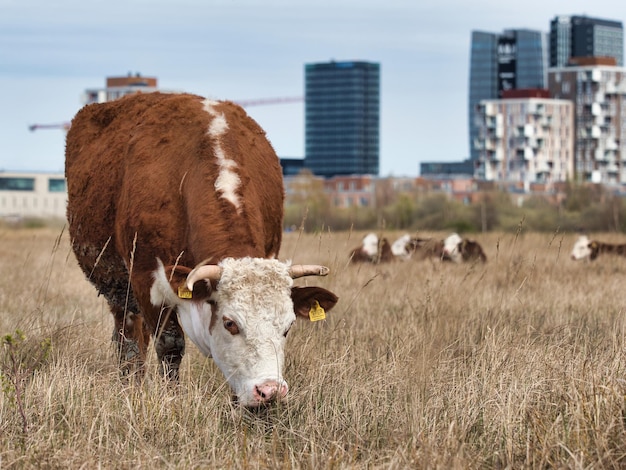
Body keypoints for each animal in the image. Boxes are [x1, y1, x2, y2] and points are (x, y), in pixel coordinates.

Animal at [64, 92, 336, 408]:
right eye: (230, 323)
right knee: (129, 341)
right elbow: (169, 345)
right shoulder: (147, 279)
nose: (269, 391)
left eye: (289, 326)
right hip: (119, 290)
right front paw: (172, 398)